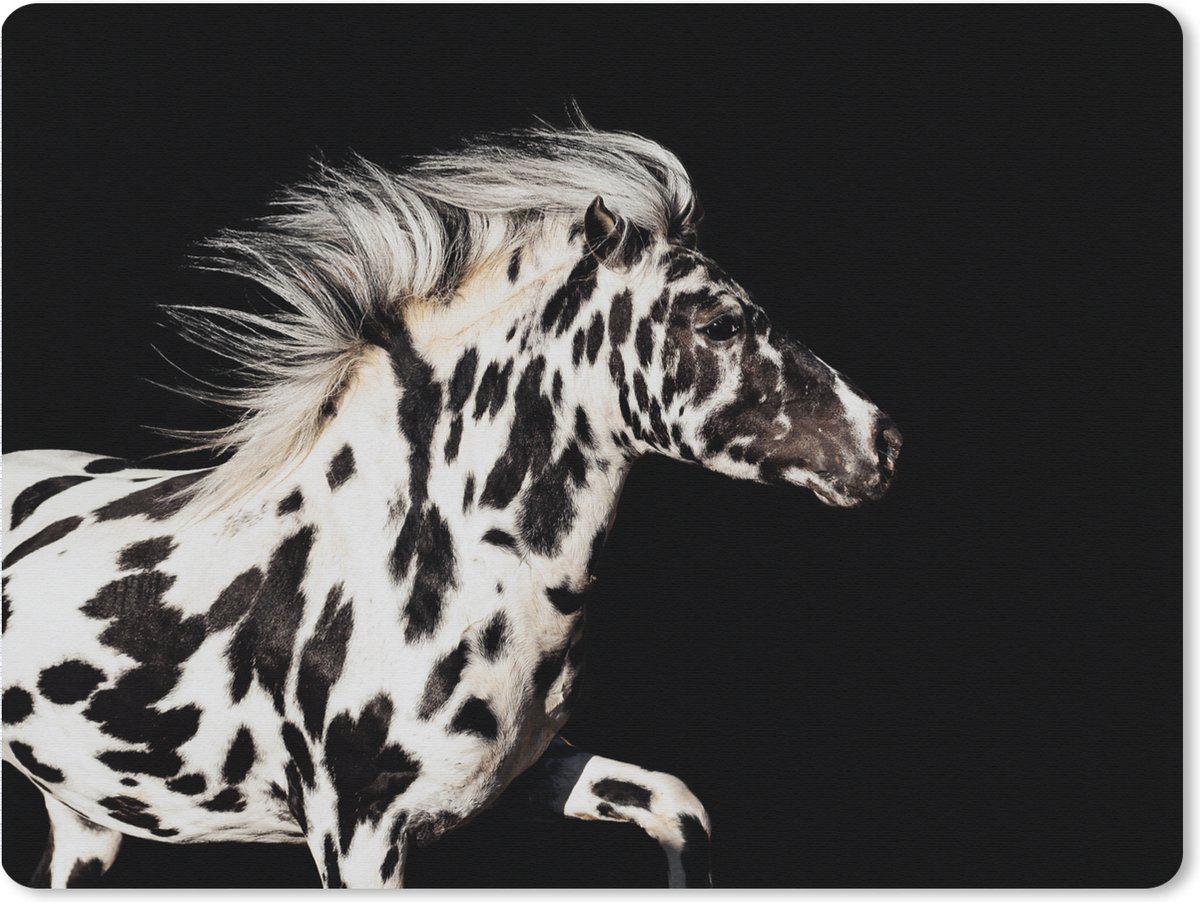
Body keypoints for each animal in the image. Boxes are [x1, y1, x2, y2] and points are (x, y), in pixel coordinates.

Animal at [0, 124, 901, 888]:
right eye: (718, 324)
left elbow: (678, 806)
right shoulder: (357, 840)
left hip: (85, 826)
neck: (418, 559)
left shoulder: (523, 775)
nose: (884, 444)